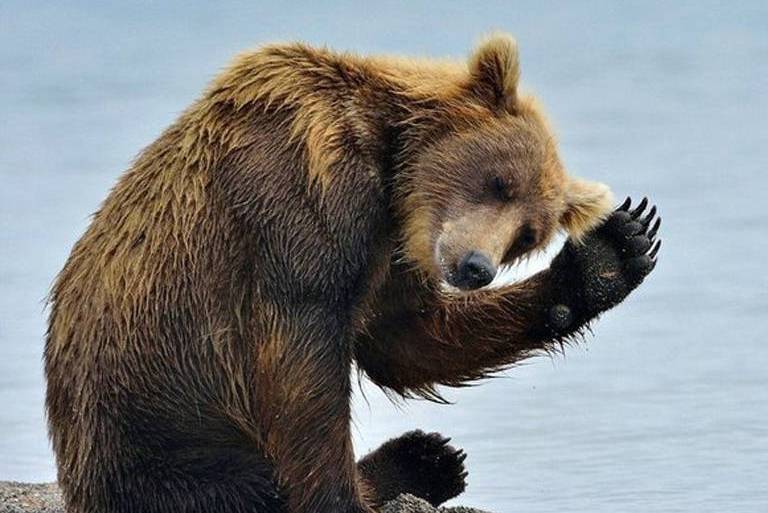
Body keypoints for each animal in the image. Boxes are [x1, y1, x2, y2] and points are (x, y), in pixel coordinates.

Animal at [45, 34, 661, 513]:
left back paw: (429, 458)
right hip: (169, 443)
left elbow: (406, 338)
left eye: (528, 235)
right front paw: (340, 497)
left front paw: (611, 253)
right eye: (499, 182)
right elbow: (306, 372)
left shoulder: (390, 251)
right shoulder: (298, 202)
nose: (475, 267)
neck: (390, 168)